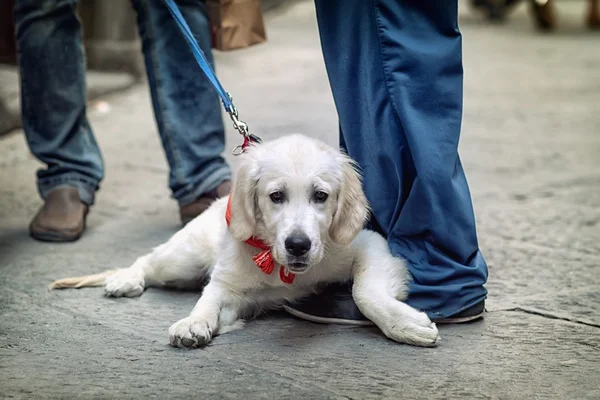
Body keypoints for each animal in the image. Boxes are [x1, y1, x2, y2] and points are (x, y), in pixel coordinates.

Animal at [49, 134, 438, 346]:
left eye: (321, 196)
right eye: (276, 196)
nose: (298, 245)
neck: (282, 266)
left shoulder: (370, 246)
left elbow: (365, 292)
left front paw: (404, 324)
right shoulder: (229, 281)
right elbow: (209, 296)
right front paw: (193, 322)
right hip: (183, 259)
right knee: (148, 259)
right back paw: (126, 278)